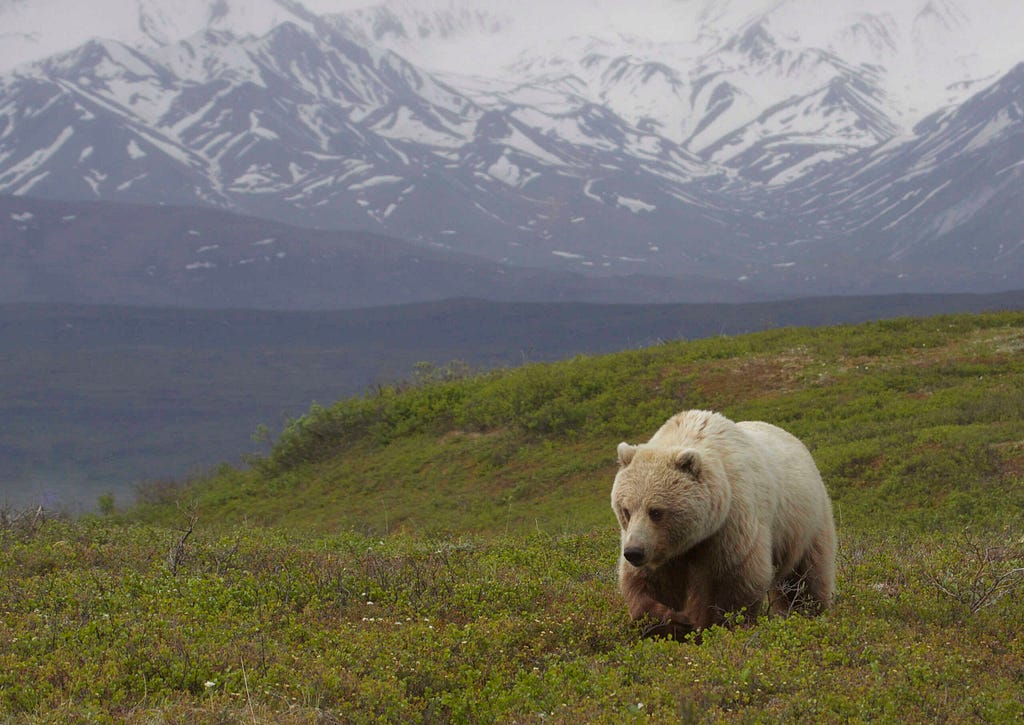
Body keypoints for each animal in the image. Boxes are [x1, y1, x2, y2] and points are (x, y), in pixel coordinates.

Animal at [610, 411, 835, 638]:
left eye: (656, 511)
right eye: (626, 510)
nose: (633, 552)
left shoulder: (732, 523)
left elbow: (735, 580)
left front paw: (714, 626)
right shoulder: (663, 550)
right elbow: (649, 584)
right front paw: (673, 621)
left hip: (805, 523)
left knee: (806, 577)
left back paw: (809, 612)